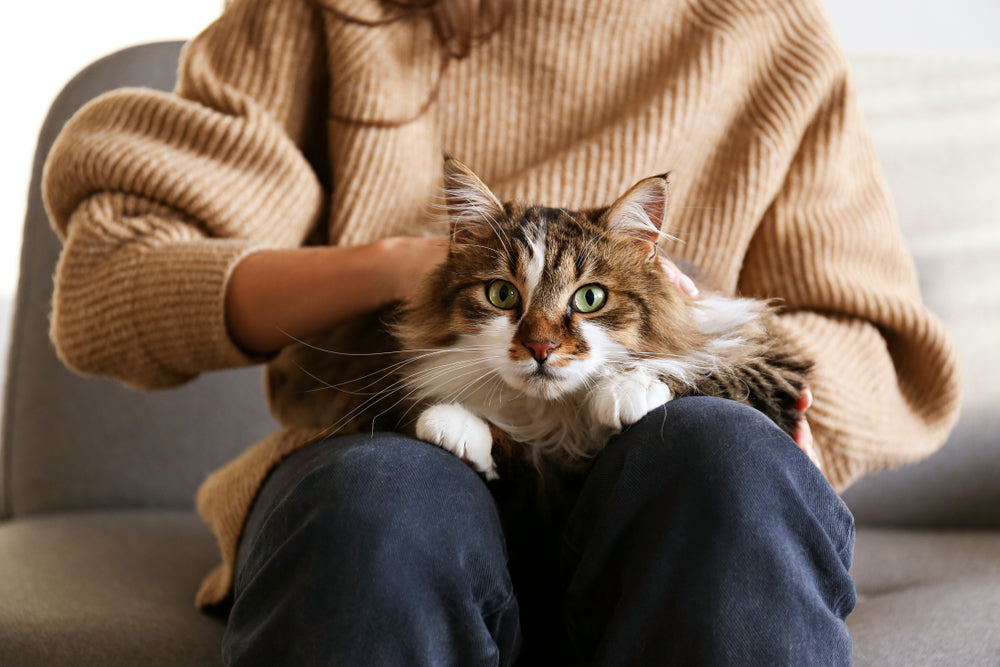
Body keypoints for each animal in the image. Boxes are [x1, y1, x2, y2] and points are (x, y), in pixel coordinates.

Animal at [268, 157, 812, 480]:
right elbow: (500, 439)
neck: (560, 420)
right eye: (502, 294)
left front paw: (623, 392)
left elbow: (700, 368)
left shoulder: (771, 356)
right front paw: (454, 423)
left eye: (590, 298)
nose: (541, 348)